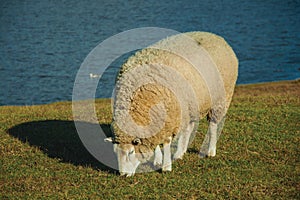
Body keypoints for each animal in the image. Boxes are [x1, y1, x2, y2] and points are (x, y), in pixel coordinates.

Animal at [105, 31, 239, 177]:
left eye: (131, 152)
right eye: (115, 152)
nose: (123, 175)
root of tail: (215, 36)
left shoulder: (170, 114)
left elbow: (167, 142)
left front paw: (166, 166)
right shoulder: (159, 118)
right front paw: (158, 160)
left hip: (220, 98)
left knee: (213, 125)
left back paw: (210, 151)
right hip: (190, 104)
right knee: (189, 127)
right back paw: (181, 152)